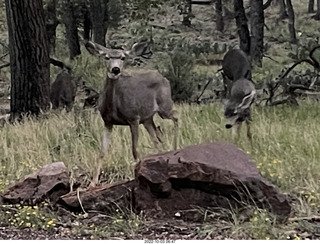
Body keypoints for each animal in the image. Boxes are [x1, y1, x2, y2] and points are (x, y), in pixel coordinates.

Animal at [84, 41, 178, 186]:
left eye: (123, 58)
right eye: (106, 57)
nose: (116, 69)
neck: (114, 105)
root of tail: (163, 77)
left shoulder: (133, 118)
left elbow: (134, 150)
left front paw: (137, 175)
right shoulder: (107, 122)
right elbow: (102, 151)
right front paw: (93, 182)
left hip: (164, 106)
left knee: (176, 117)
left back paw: (175, 148)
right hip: (147, 118)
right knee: (156, 137)